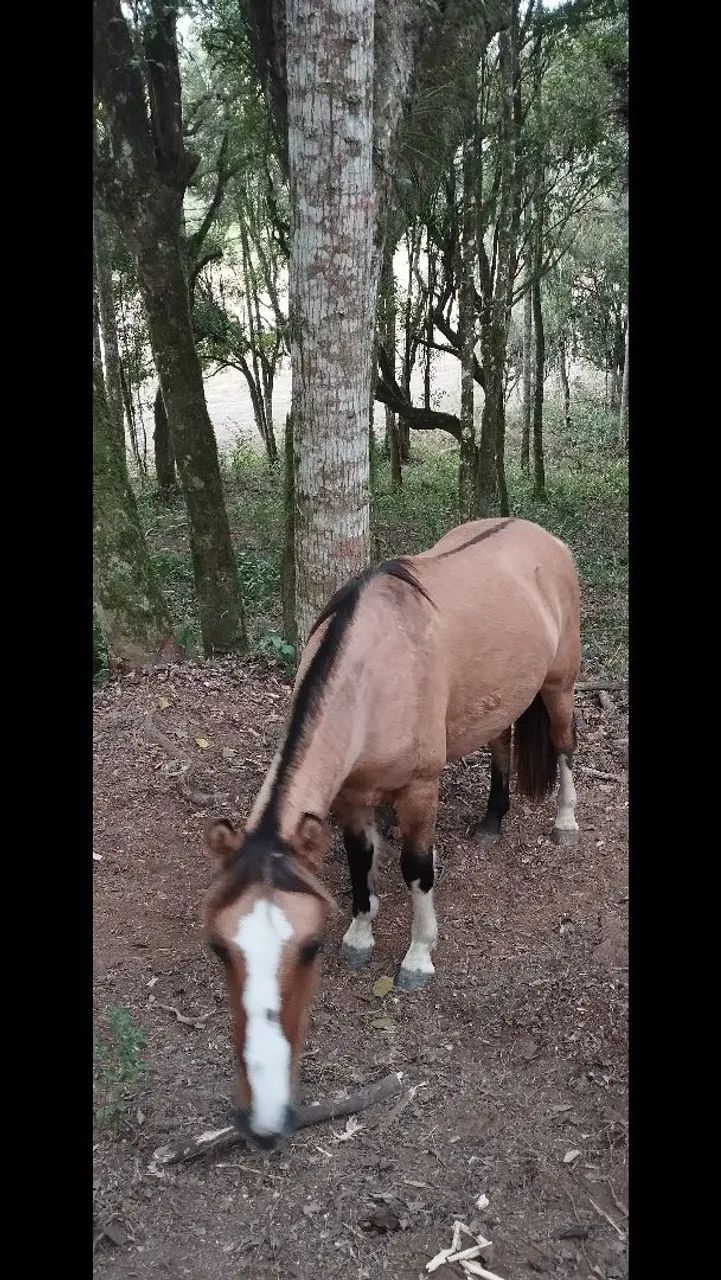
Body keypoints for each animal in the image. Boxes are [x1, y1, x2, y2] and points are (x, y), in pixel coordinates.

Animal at [203, 517, 581, 1146]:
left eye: (308, 947)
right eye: (219, 946)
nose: (263, 1120)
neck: (373, 676)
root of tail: (543, 537)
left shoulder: (419, 790)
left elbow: (416, 869)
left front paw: (417, 957)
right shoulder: (351, 796)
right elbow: (360, 859)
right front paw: (361, 934)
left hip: (559, 686)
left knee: (564, 743)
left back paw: (567, 820)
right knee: (501, 741)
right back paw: (493, 820)